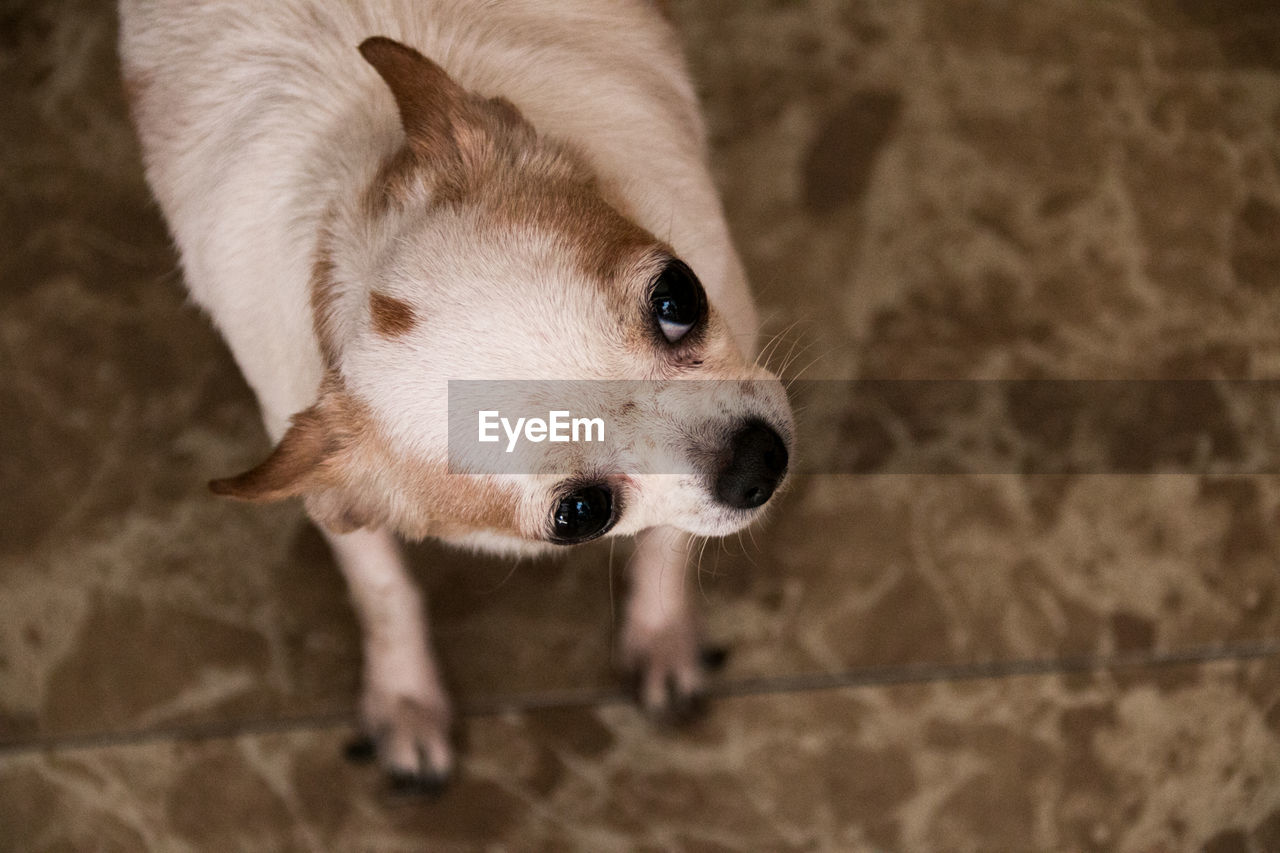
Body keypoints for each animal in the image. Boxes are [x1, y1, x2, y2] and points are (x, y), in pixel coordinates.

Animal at [124, 0, 793, 788]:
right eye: (580, 514)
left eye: (678, 295)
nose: (757, 462)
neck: (365, 197)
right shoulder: (324, 488)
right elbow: (380, 584)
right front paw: (405, 696)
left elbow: (670, 538)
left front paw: (661, 630)